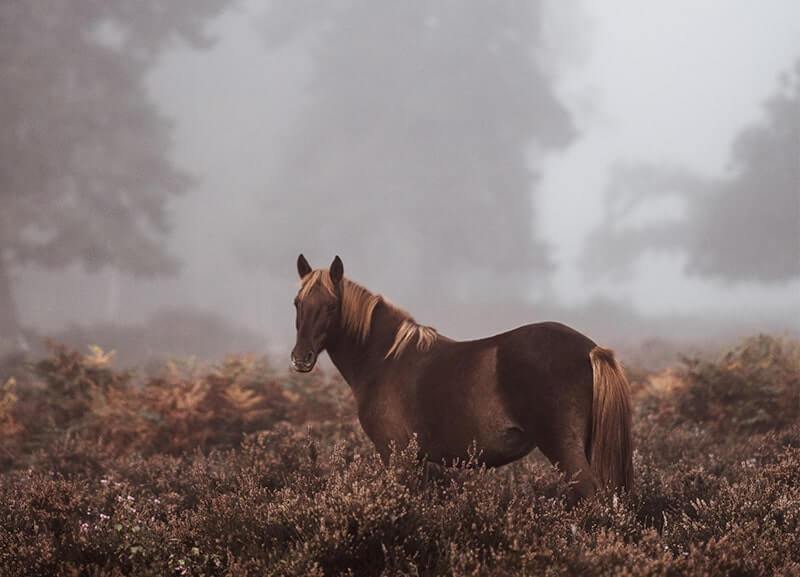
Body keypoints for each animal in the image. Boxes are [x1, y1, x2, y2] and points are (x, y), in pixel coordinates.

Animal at [290, 254, 633, 501]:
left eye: (332, 305)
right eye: (297, 303)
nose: (300, 358)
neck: (385, 358)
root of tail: (591, 348)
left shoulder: (395, 455)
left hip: (564, 449)